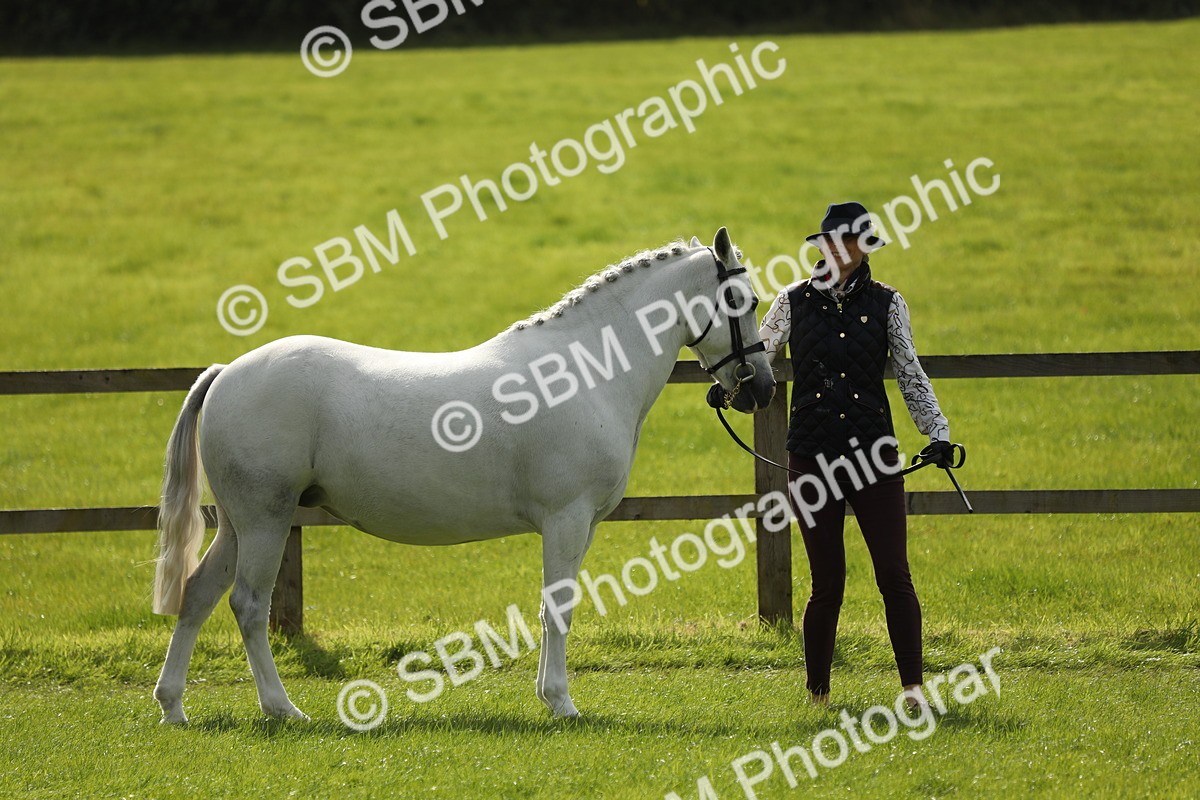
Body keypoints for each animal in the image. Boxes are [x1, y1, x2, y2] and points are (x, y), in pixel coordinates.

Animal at [152, 227, 776, 724]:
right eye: (741, 298)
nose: (763, 387)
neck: (582, 372)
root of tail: (227, 372)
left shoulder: (581, 525)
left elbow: (553, 603)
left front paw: (548, 695)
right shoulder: (567, 518)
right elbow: (559, 605)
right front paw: (562, 702)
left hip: (238, 524)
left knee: (199, 595)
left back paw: (174, 706)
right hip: (266, 519)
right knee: (248, 605)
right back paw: (281, 708)